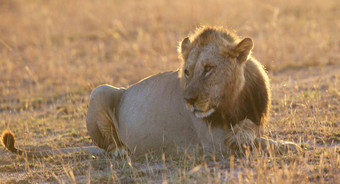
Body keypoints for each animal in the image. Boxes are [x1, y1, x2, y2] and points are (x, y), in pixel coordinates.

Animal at [1, 26, 302, 158]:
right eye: (187, 71)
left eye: (208, 68)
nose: (188, 100)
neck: (232, 101)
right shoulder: (215, 143)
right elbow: (258, 142)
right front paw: (293, 145)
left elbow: (255, 135)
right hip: (100, 91)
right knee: (110, 147)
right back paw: (122, 152)